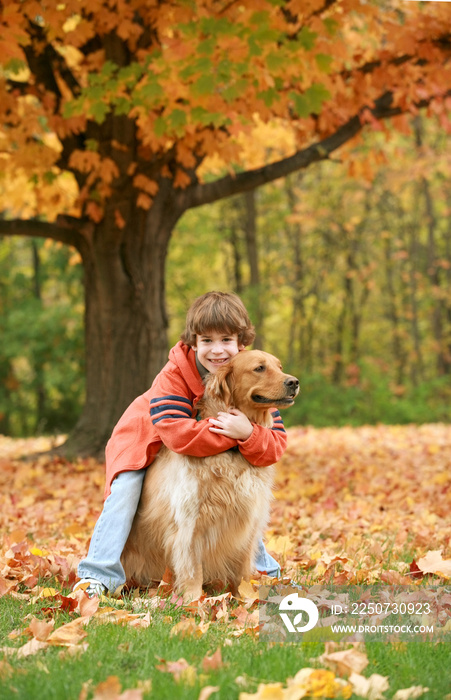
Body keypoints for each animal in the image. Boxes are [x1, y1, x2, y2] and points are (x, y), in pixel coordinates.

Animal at [122, 350, 298, 600]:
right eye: (259, 368)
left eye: (279, 367)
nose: (294, 382)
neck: (232, 449)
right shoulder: (190, 523)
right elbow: (193, 569)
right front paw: (194, 601)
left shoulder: (249, 521)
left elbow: (242, 568)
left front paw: (245, 597)